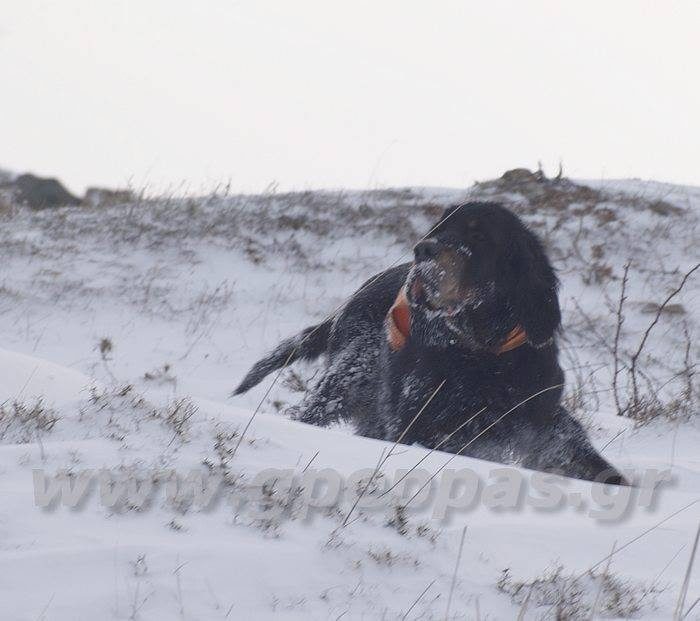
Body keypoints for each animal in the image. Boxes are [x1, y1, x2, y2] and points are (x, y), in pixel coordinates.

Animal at [234, 202, 626, 485]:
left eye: (479, 234)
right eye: (439, 228)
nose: (422, 249)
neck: (483, 351)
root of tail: (354, 297)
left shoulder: (537, 418)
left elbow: (572, 450)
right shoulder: (424, 423)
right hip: (349, 375)